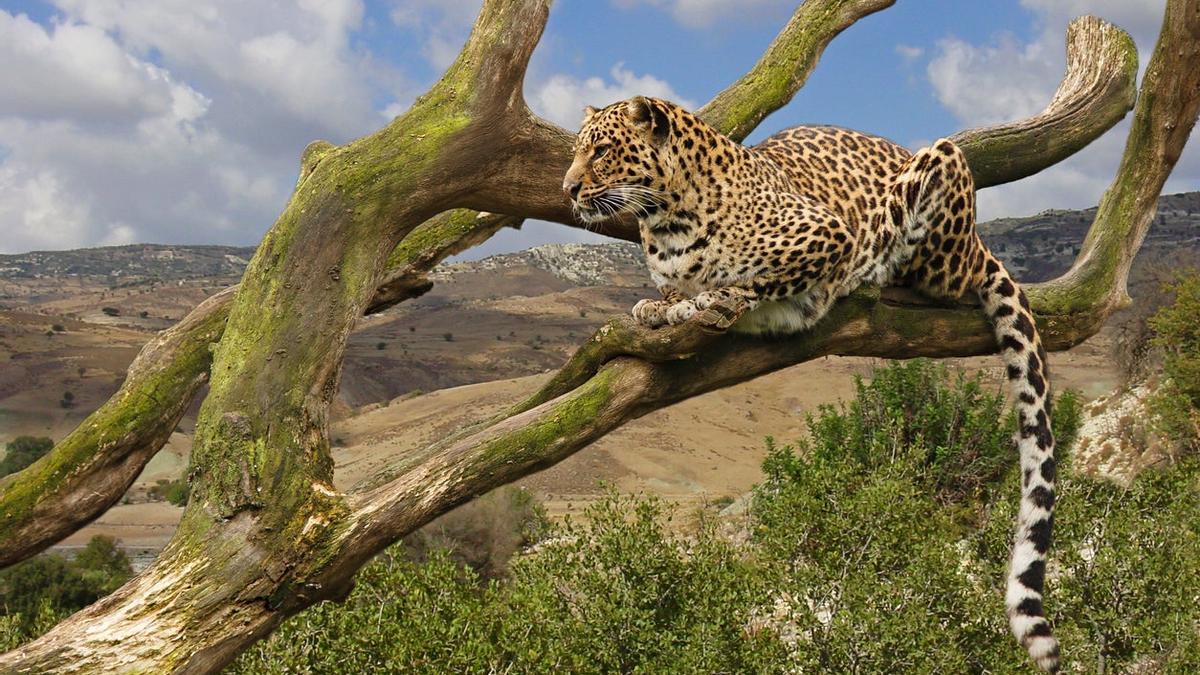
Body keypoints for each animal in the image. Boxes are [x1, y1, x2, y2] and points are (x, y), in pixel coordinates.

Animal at [563, 96, 1060, 672]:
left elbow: (756, 280)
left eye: (601, 151)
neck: (667, 222)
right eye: (579, 151)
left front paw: (717, 298)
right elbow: (674, 294)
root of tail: (981, 241)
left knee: (944, 272)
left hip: (944, 185)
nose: (567, 188)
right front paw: (661, 305)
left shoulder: (828, 234)